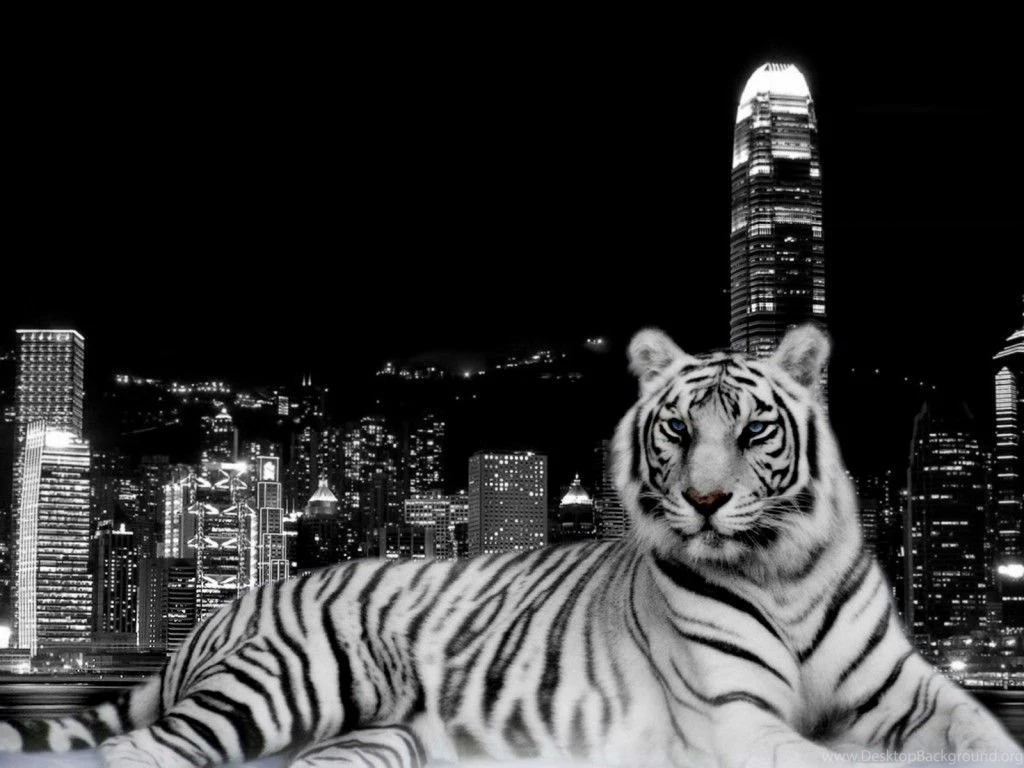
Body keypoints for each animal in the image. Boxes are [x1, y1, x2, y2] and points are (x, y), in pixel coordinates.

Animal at [1, 324, 1019, 767]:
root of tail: (230, 605)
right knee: (139, 754)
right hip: (290, 683)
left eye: (752, 430)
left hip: (383, 738)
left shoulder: (917, 693)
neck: (784, 570)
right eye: (678, 430)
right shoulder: (734, 717)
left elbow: (986, 736)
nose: (704, 502)